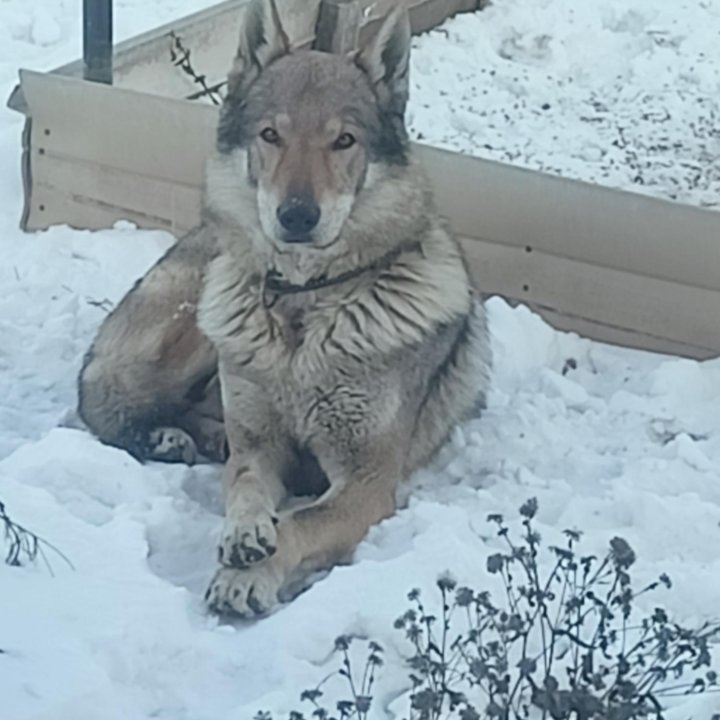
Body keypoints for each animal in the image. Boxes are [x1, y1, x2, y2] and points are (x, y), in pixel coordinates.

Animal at [80, 0, 496, 616]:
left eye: (344, 141)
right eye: (271, 135)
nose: (297, 216)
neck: (306, 312)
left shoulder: (366, 482)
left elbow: (299, 521)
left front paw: (249, 575)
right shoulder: (259, 444)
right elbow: (246, 488)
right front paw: (244, 534)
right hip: (196, 327)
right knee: (110, 405)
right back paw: (171, 437)